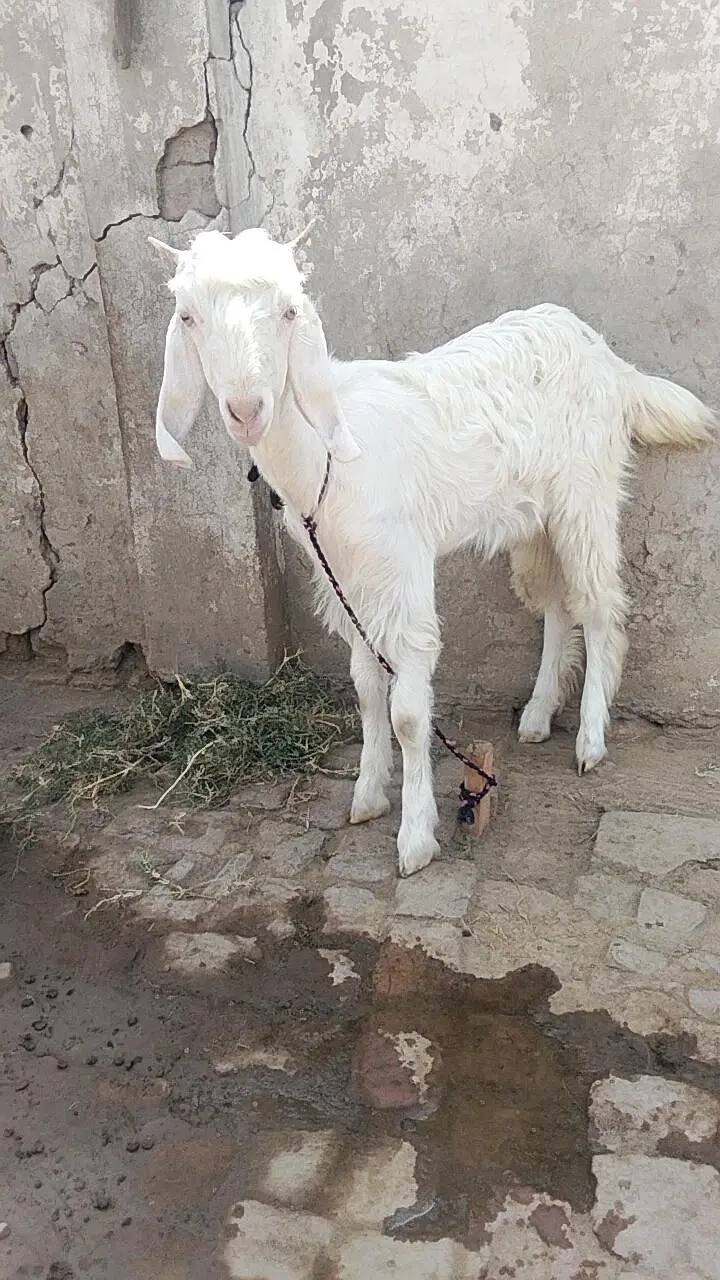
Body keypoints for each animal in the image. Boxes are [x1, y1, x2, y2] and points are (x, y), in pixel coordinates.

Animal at [150, 226, 714, 877]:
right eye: (187, 316)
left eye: (290, 311)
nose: (247, 410)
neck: (328, 456)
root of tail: (608, 359)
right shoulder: (343, 570)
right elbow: (366, 687)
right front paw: (368, 795)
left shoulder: (402, 563)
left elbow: (408, 713)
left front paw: (415, 837)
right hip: (533, 518)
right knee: (553, 603)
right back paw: (537, 714)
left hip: (586, 496)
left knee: (598, 607)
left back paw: (590, 741)